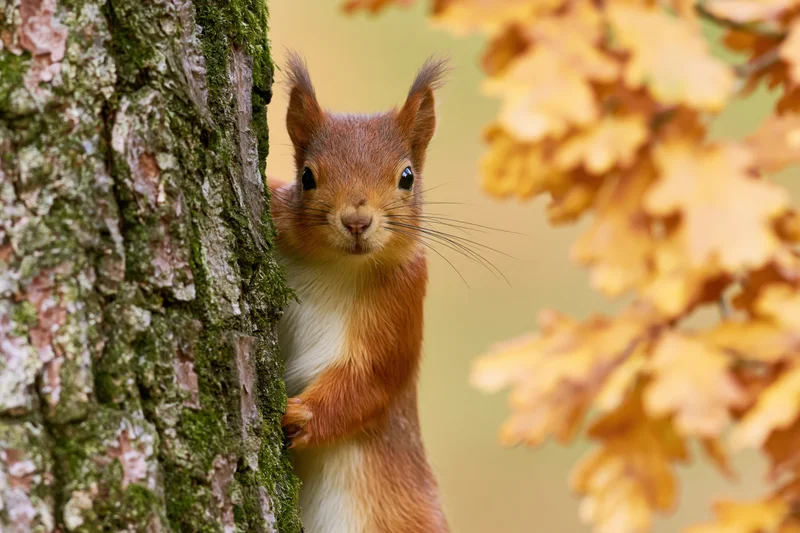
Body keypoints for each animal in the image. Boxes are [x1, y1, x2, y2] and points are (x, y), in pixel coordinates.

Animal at [267, 51, 450, 533]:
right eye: (307, 177)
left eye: (407, 176)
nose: (356, 221)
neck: (337, 266)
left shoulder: (404, 299)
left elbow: (370, 382)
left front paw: (297, 417)